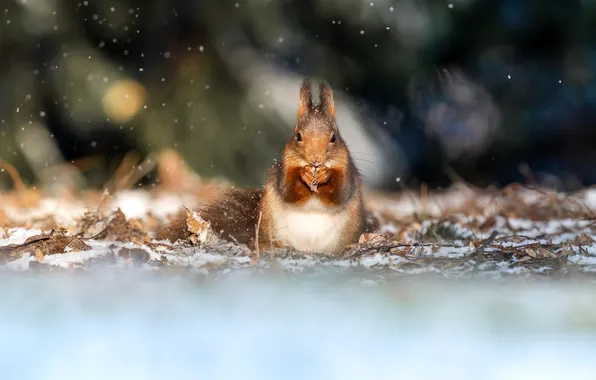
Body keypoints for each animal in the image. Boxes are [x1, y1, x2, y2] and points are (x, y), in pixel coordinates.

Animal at [161, 78, 370, 252]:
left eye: (334, 138)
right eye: (298, 136)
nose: (315, 159)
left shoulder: (347, 171)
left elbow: (340, 193)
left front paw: (325, 175)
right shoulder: (284, 168)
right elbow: (288, 190)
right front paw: (303, 174)